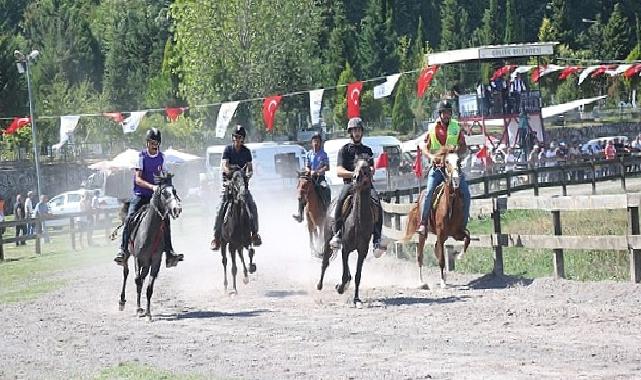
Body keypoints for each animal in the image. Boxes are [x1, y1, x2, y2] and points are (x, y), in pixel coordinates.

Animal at [117, 173, 181, 320]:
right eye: (164, 193)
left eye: (174, 191)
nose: (177, 209)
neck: (148, 232)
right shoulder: (137, 258)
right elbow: (137, 281)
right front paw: (138, 309)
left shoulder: (156, 261)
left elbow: (149, 287)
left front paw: (148, 313)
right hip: (128, 255)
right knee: (126, 273)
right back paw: (122, 302)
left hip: (147, 263)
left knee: (142, 277)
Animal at [316, 158, 376, 306]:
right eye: (355, 166)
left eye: (367, 168)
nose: (355, 178)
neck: (358, 222)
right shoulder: (346, 248)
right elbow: (343, 273)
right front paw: (340, 288)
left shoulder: (362, 251)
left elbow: (357, 276)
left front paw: (356, 299)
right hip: (328, 240)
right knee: (325, 262)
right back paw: (319, 284)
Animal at [404, 148, 470, 288]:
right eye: (446, 161)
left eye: (459, 161)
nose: (456, 179)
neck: (450, 204)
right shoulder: (440, 234)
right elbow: (441, 259)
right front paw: (442, 283)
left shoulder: (456, 233)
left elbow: (467, 238)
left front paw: (459, 256)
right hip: (422, 234)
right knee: (420, 256)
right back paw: (422, 282)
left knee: (436, 250)